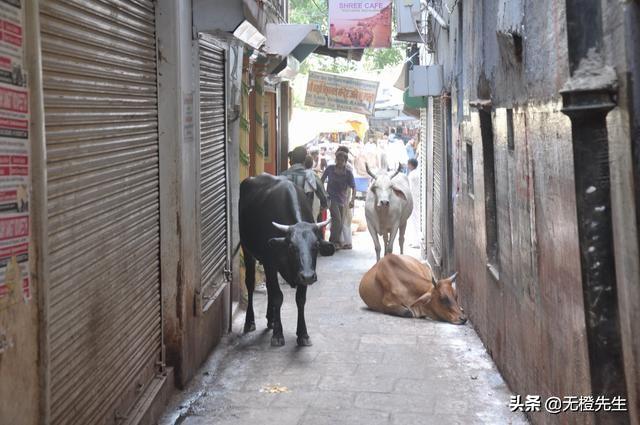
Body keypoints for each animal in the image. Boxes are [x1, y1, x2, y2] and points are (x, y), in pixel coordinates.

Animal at [238, 172, 332, 344]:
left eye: (315, 245)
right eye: (292, 247)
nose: (309, 277)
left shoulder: (302, 271)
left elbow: (300, 299)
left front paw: (303, 334)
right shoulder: (270, 262)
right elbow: (277, 296)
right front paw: (278, 334)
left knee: (269, 287)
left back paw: (271, 319)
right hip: (247, 249)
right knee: (250, 283)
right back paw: (250, 322)